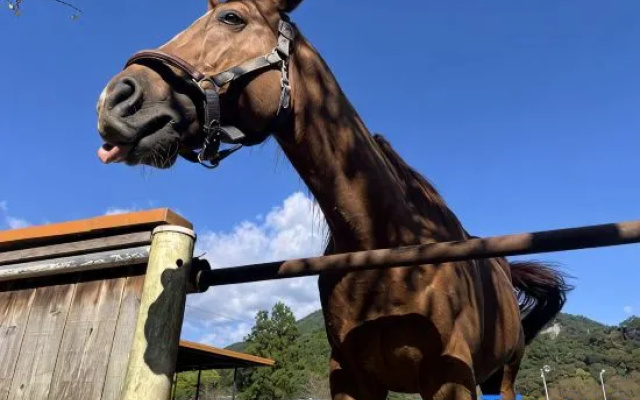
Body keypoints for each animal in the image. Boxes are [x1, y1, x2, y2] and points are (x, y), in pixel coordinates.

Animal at [95, 1, 573, 399]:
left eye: (232, 17)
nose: (115, 99)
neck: (384, 243)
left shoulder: (449, 376)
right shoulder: (349, 377)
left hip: (503, 376)